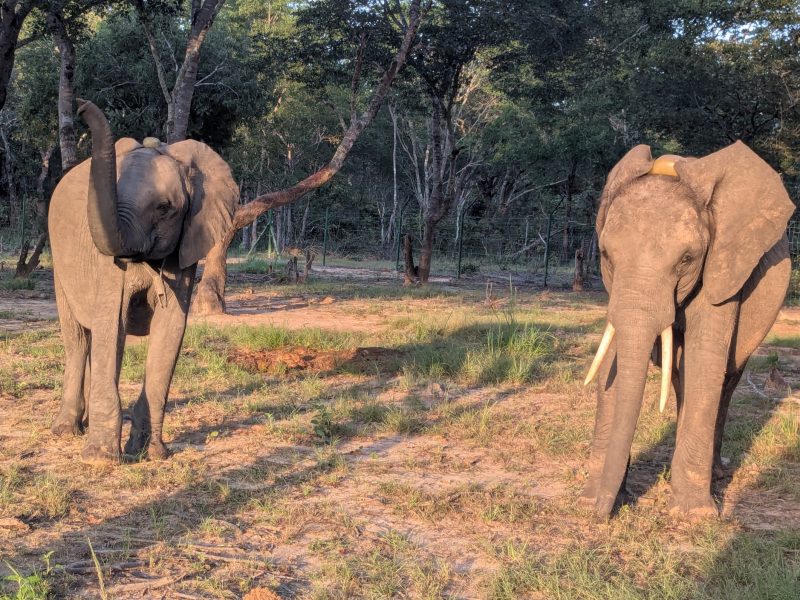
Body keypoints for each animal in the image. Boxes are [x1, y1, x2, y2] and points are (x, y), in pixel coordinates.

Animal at [48, 99, 238, 463]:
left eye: (164, 208)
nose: (80, 107)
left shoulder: (184, 248)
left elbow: (171, 327)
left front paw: (151, 454)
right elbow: (113, 323)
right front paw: (99, 459)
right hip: (57, 260)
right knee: (78, 338)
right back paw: (66, 431)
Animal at [581, 140, 795, 518]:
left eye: (686, 260)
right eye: (606, 255)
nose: (601, 515)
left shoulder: (724, 269)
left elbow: (705, 361)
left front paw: (694, 516)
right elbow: (612, 363)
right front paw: (592, 499)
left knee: (725, 379)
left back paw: (716, 477)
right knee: (683, 377)